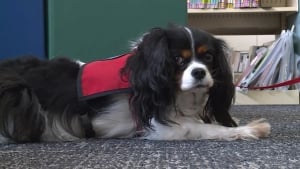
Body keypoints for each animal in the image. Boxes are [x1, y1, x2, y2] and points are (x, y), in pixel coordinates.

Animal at [0, 25, 270, 143]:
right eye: (178, 59)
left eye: (208, 57)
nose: (199, 72)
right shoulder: (162, 127)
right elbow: (206, 128)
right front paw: (249, 129)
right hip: (19, 93)